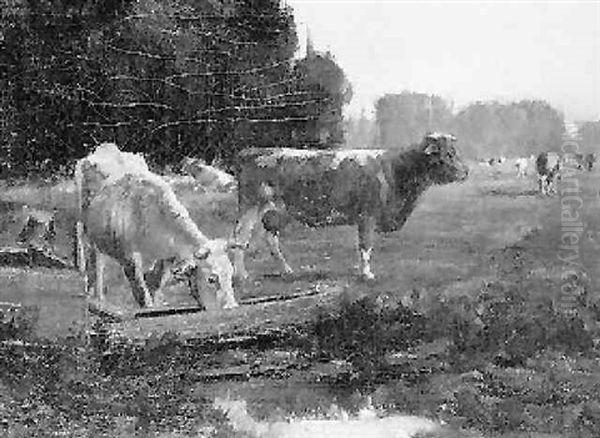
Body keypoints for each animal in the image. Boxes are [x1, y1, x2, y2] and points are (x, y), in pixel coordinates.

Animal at [230, 132, 468, 280]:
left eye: (454, 152)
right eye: (448, 154)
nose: (466, 172)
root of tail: (253, 151)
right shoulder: (368, 215)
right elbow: (366, 246)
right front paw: (366, 274)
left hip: (277, 212)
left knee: (269, 238)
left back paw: (287, 270)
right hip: (251, 207)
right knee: (240, 239)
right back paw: (241, 275)